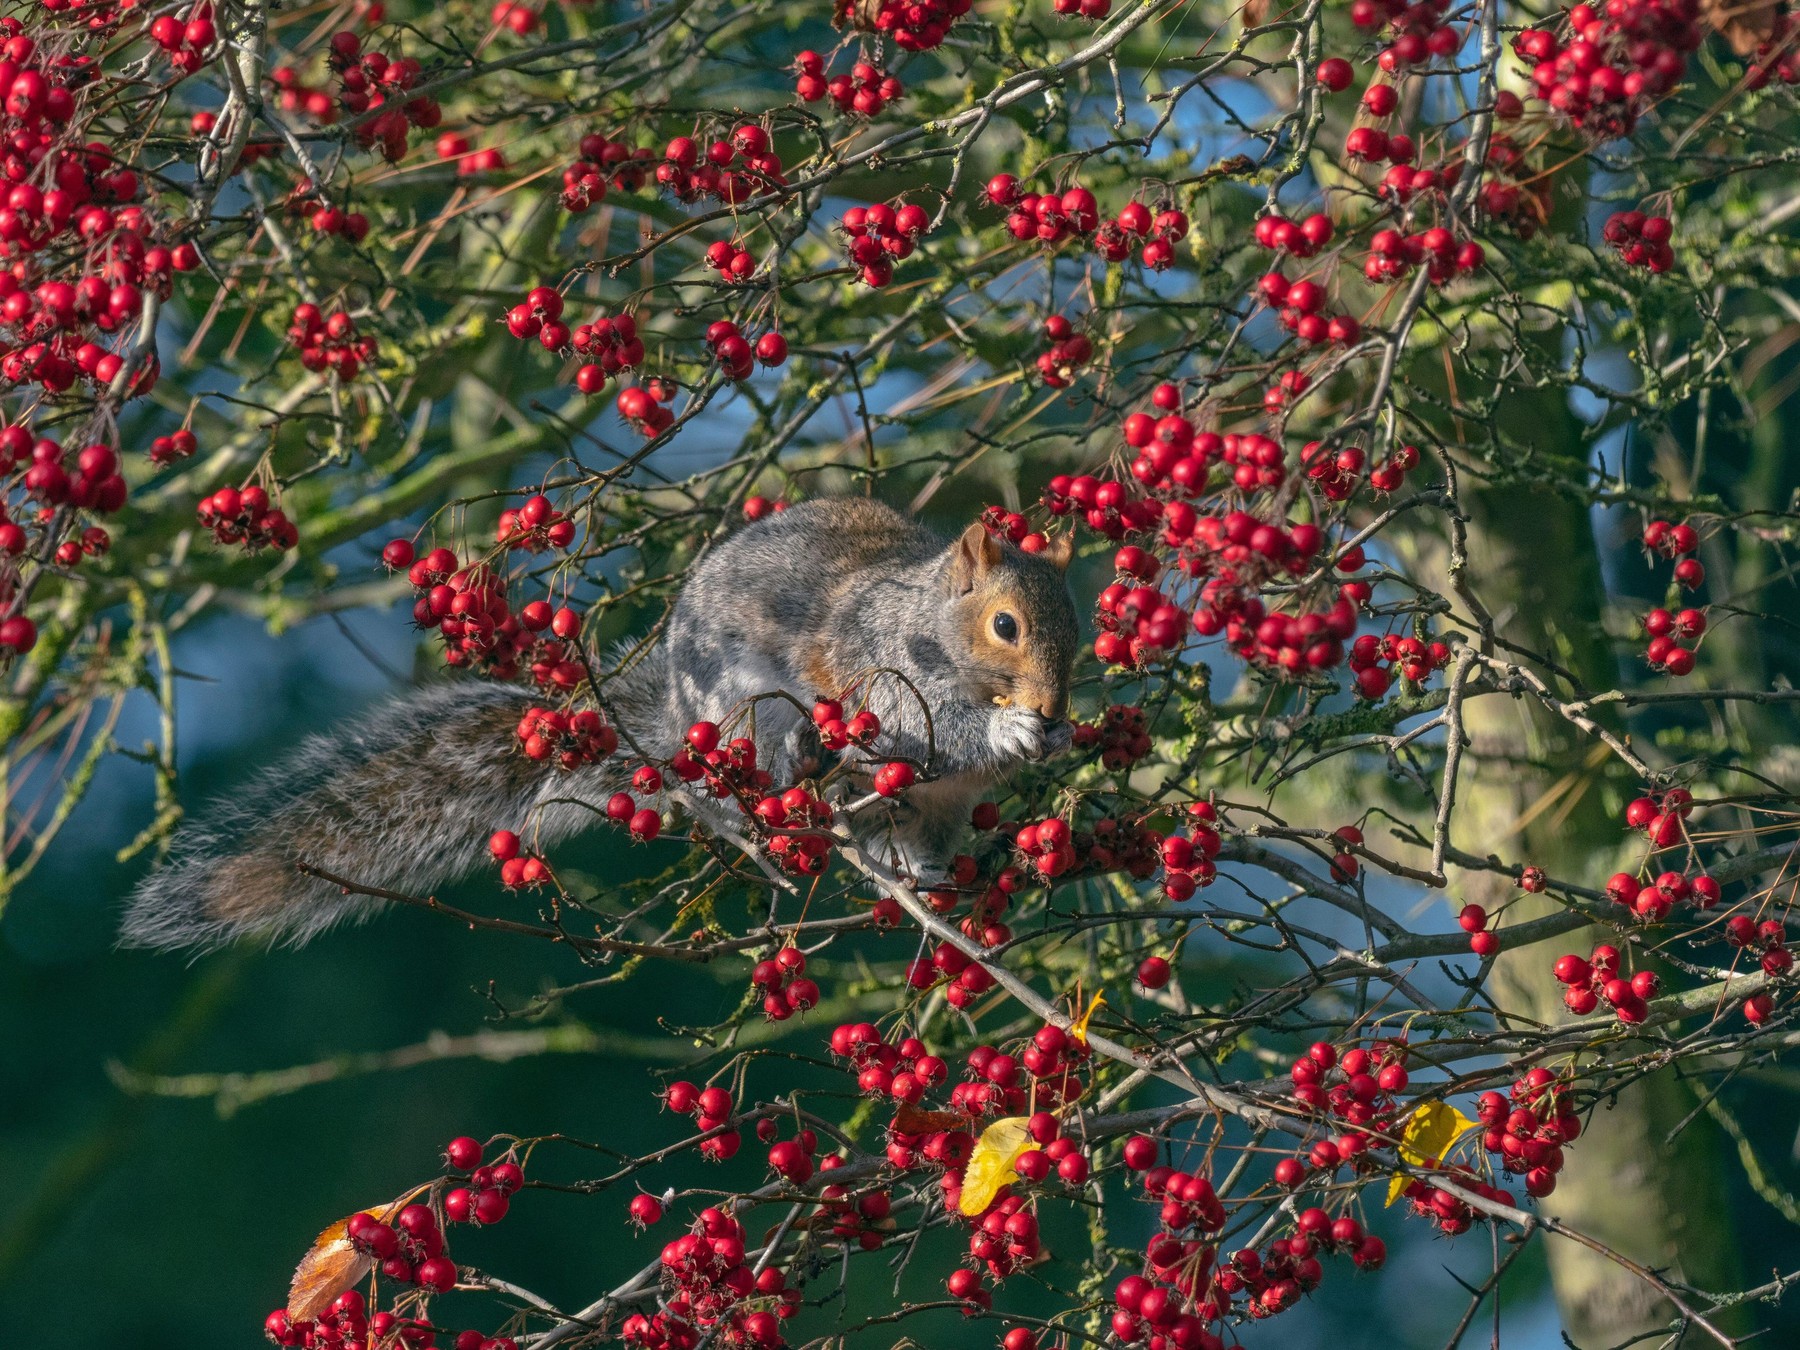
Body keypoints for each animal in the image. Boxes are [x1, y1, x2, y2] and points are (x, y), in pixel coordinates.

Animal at [121, 498, 1079, 951]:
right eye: (1006, 625)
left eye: (1075, 622)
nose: (1054, 706)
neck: (931, 625)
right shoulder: (881, 676)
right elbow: (922, 732)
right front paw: (1004, 733)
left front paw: (1053, 735)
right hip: (759, 724)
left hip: (919, 814)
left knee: (908, 837)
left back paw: (935, 877)